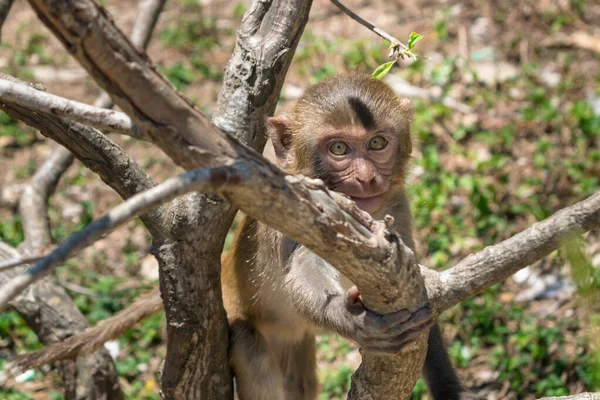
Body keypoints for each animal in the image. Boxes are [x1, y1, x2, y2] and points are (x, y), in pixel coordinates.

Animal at [220, 73, 464, 398]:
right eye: (338, 148)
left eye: (377, 143)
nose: (366, 177)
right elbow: (304, 269)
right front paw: (353, 320)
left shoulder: (397, 207)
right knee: (248, 344)